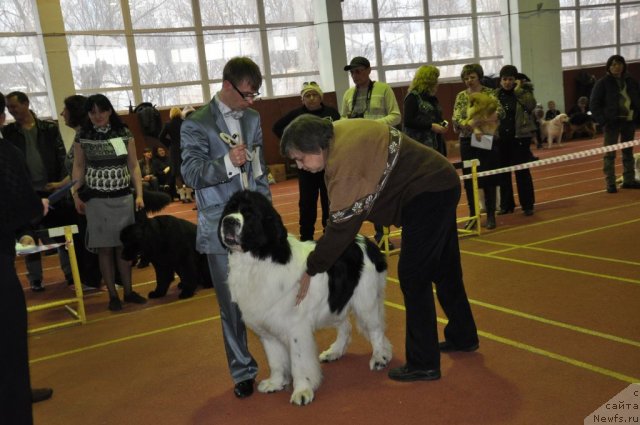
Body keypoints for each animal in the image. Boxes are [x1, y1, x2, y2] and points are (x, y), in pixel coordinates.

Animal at [218, 189, 392, 404]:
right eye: (229, 209)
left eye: (249, 214)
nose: (228, 221)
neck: (258, 260)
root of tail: (367, 242)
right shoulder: (267, 330)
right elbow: (275, 360)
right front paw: (275, 383)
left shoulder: (296, 328)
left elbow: (299, 363)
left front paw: (302, 391)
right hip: (334, 302)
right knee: (345, 325)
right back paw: (335, 352)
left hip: (366, 301)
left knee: (376, 329)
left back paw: (379, 357)